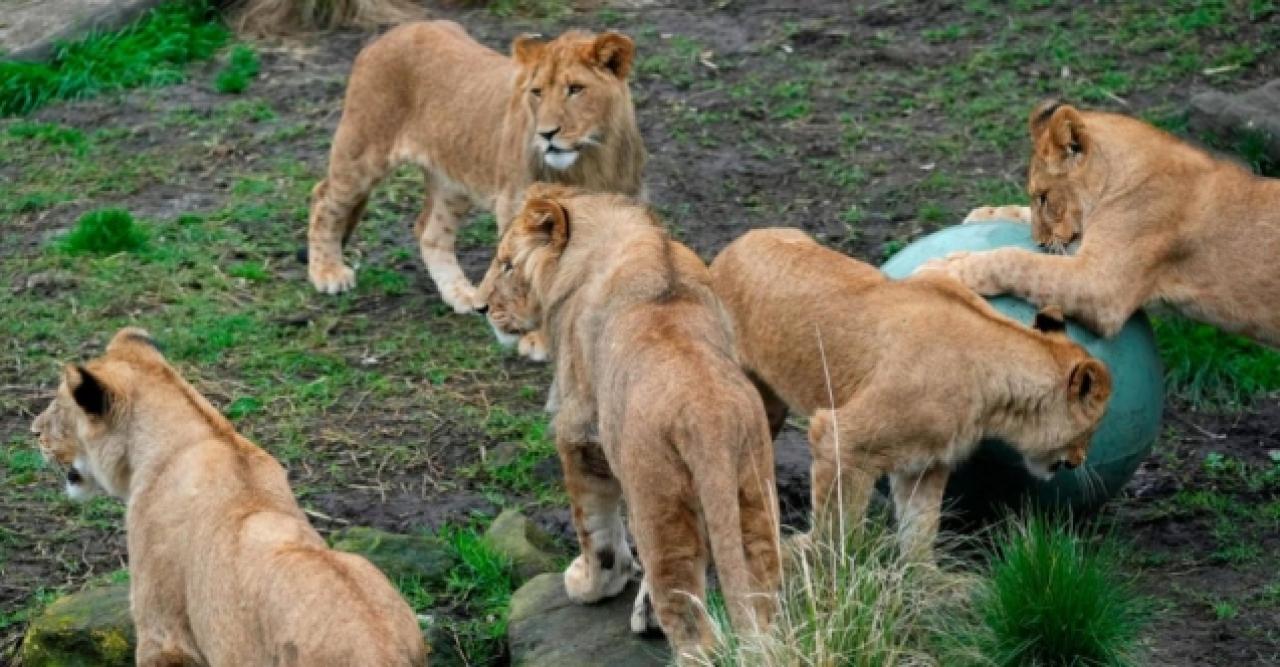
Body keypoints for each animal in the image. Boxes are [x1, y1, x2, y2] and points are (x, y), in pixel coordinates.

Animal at [305, 20, 645, 317]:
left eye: (575, 89)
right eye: (536, 92)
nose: (546, 134)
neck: (592, 159)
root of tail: (390, 33)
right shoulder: (514, 207)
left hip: (453, 181)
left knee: (430, 233)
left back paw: (460, 294)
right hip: (362, 151)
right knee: (324, 197)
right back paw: (327, 273)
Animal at [476, 184, 778, 655]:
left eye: (507, 264)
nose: (480, 306)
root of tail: (706, 415)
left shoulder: (579, 430)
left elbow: (594, 526)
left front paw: (591, 584)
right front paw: (640, 609)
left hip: (659, 506)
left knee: (694, 632)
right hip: (752, 500)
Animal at [711, 227, 1111, 555]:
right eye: (1091, 430)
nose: (1081, 460)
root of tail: (731, 249)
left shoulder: (926, 463)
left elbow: (921, 527)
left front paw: (925, 583)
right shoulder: (841, 438)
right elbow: (837, 528)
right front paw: (825, 572)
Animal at [921, 101, 1280, 348]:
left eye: (1044, 197)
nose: (1039, 241)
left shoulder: (1103, 286)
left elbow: (1016, 260)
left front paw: (944, 270)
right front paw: (983, 214)